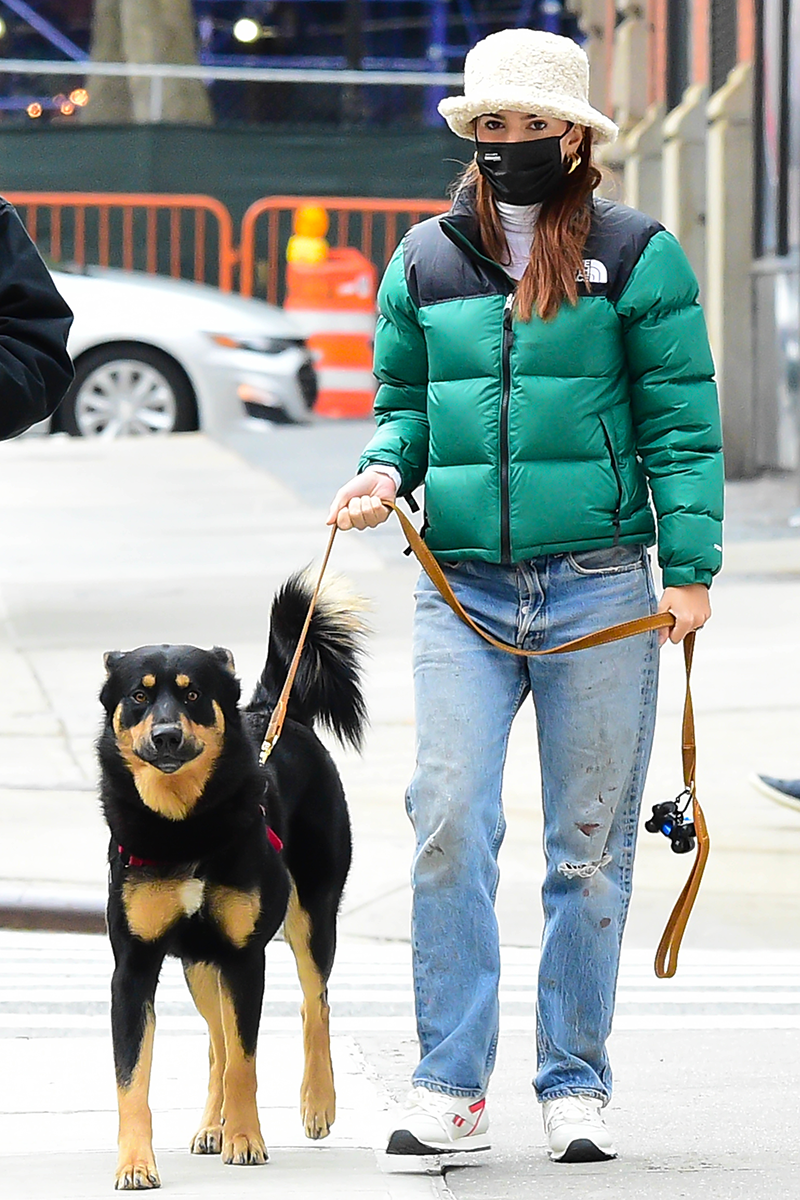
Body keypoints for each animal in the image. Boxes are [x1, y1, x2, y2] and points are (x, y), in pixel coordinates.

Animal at [97, 578, 367, 1190]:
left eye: (194, 695)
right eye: (139, 696)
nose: (166, 736)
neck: (184, 826)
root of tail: (272, 709)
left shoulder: (244, 957)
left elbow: (246, 1060)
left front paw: (246, 1139)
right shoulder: (133, 968)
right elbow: (133, 1079)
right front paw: (134, 1164)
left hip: (311, 917)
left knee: (314, 1004)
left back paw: (318, 1102)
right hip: (199, 962)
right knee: (216, 1044)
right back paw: (210, 1125)